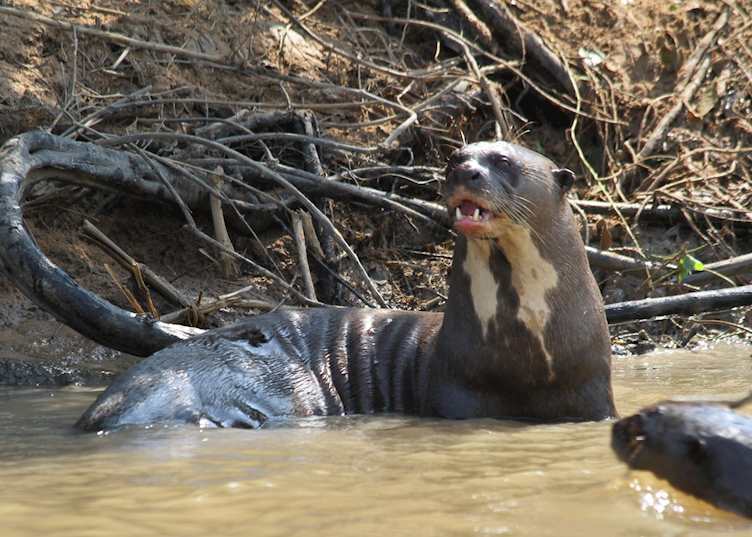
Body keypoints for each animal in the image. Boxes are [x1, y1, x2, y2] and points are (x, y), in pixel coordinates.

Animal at [69, 141, 616, 429]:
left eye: (502, 161)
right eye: (456, 156)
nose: (464, 169)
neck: (530, 353)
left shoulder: (592, 394)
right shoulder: (458, 393)